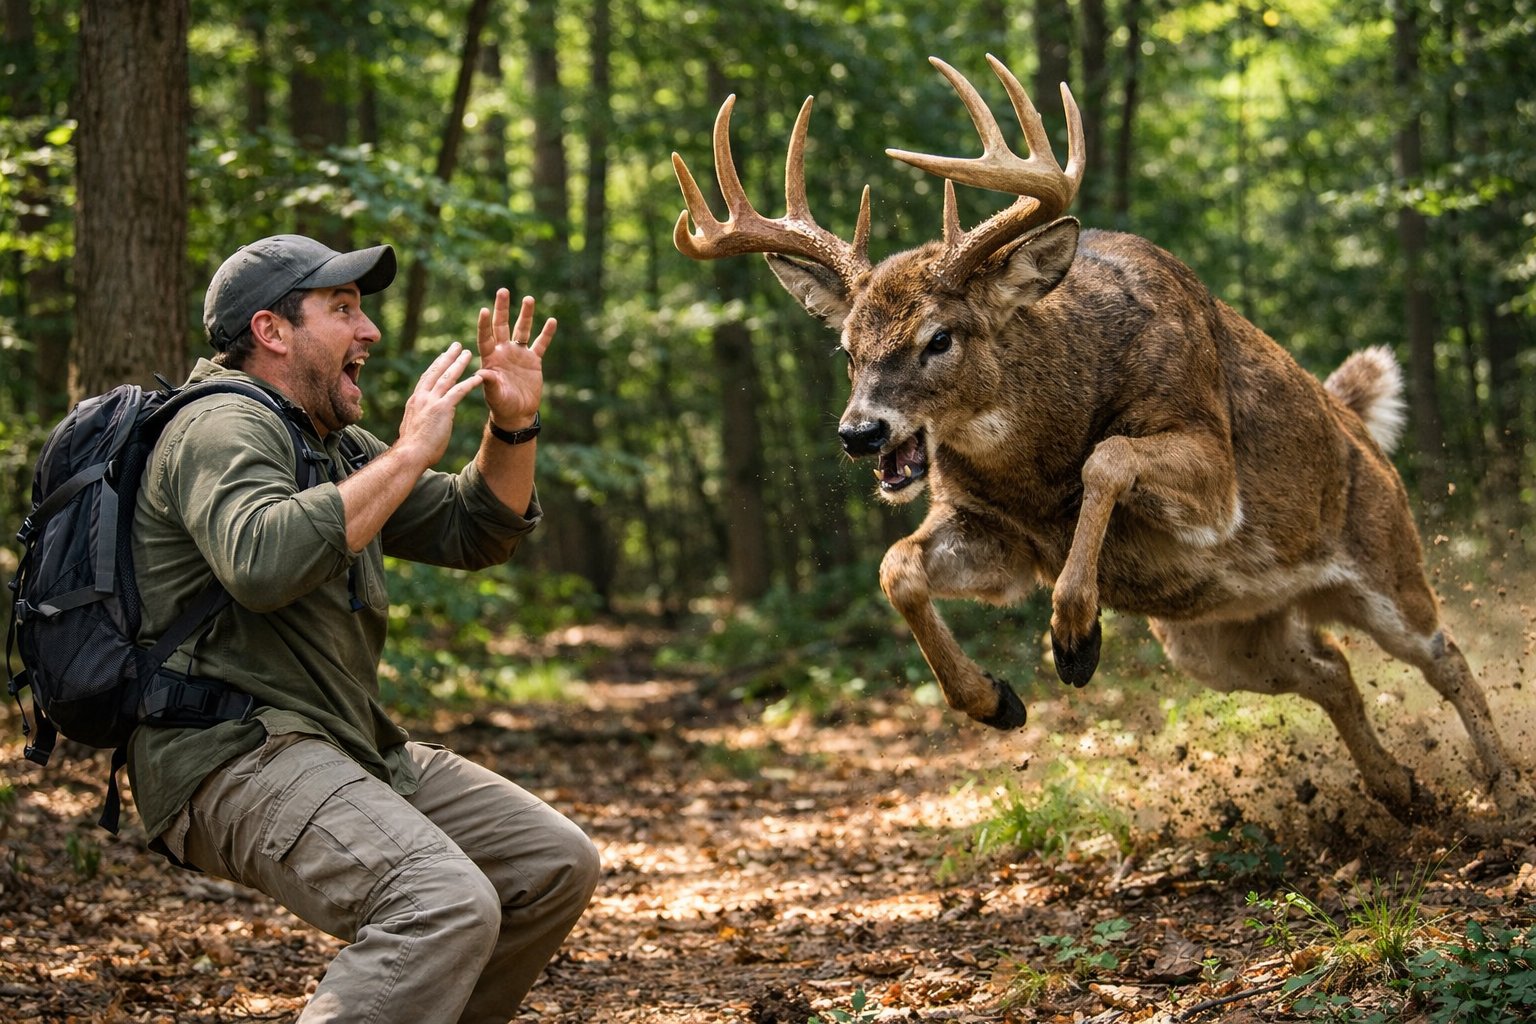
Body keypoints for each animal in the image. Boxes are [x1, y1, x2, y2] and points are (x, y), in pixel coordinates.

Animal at [669, 53, 1528, 825]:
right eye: (847, 349)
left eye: (940, 337)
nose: (859, 432)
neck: (1036, 462)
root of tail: (1358, 429)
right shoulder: (998, 536)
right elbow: (897, 567)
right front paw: (996, 700)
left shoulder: (1213, 468)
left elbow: (1108, 458)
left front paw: (1075, 637)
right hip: (1215, 636)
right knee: (1332, 668)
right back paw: (1402, 790)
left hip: (1387, 560)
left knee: (1446, 656)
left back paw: (1503, 792)